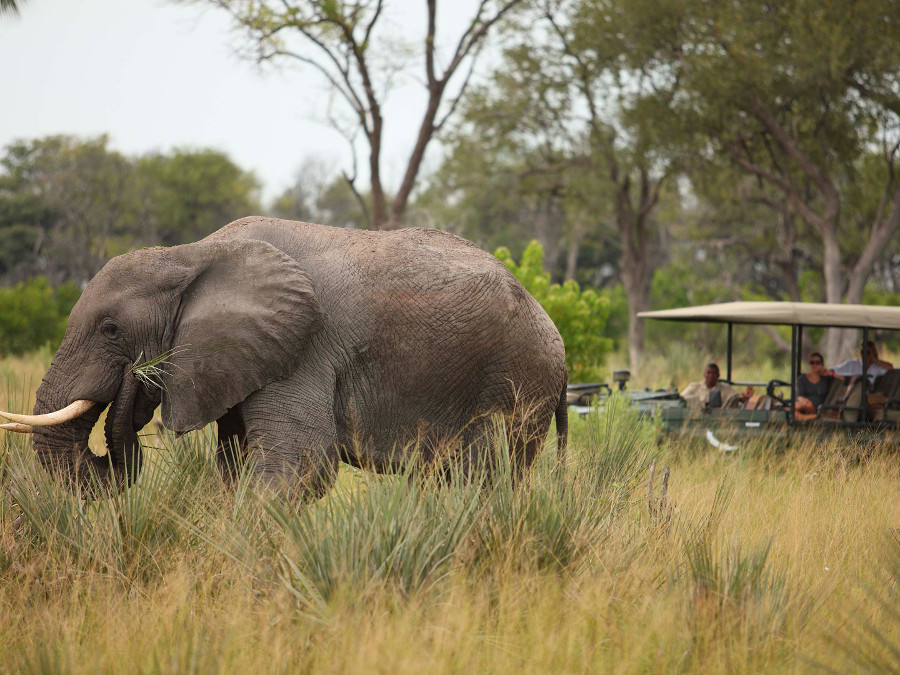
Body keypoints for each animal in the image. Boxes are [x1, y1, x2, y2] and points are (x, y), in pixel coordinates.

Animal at [3, 219, 568, 500]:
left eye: (110, 329)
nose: (135, 381)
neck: (191, 254)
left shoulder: (304, 348)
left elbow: (301, 467)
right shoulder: (238, 358)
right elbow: (235, 467)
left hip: (518, 384)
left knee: (485, 481)